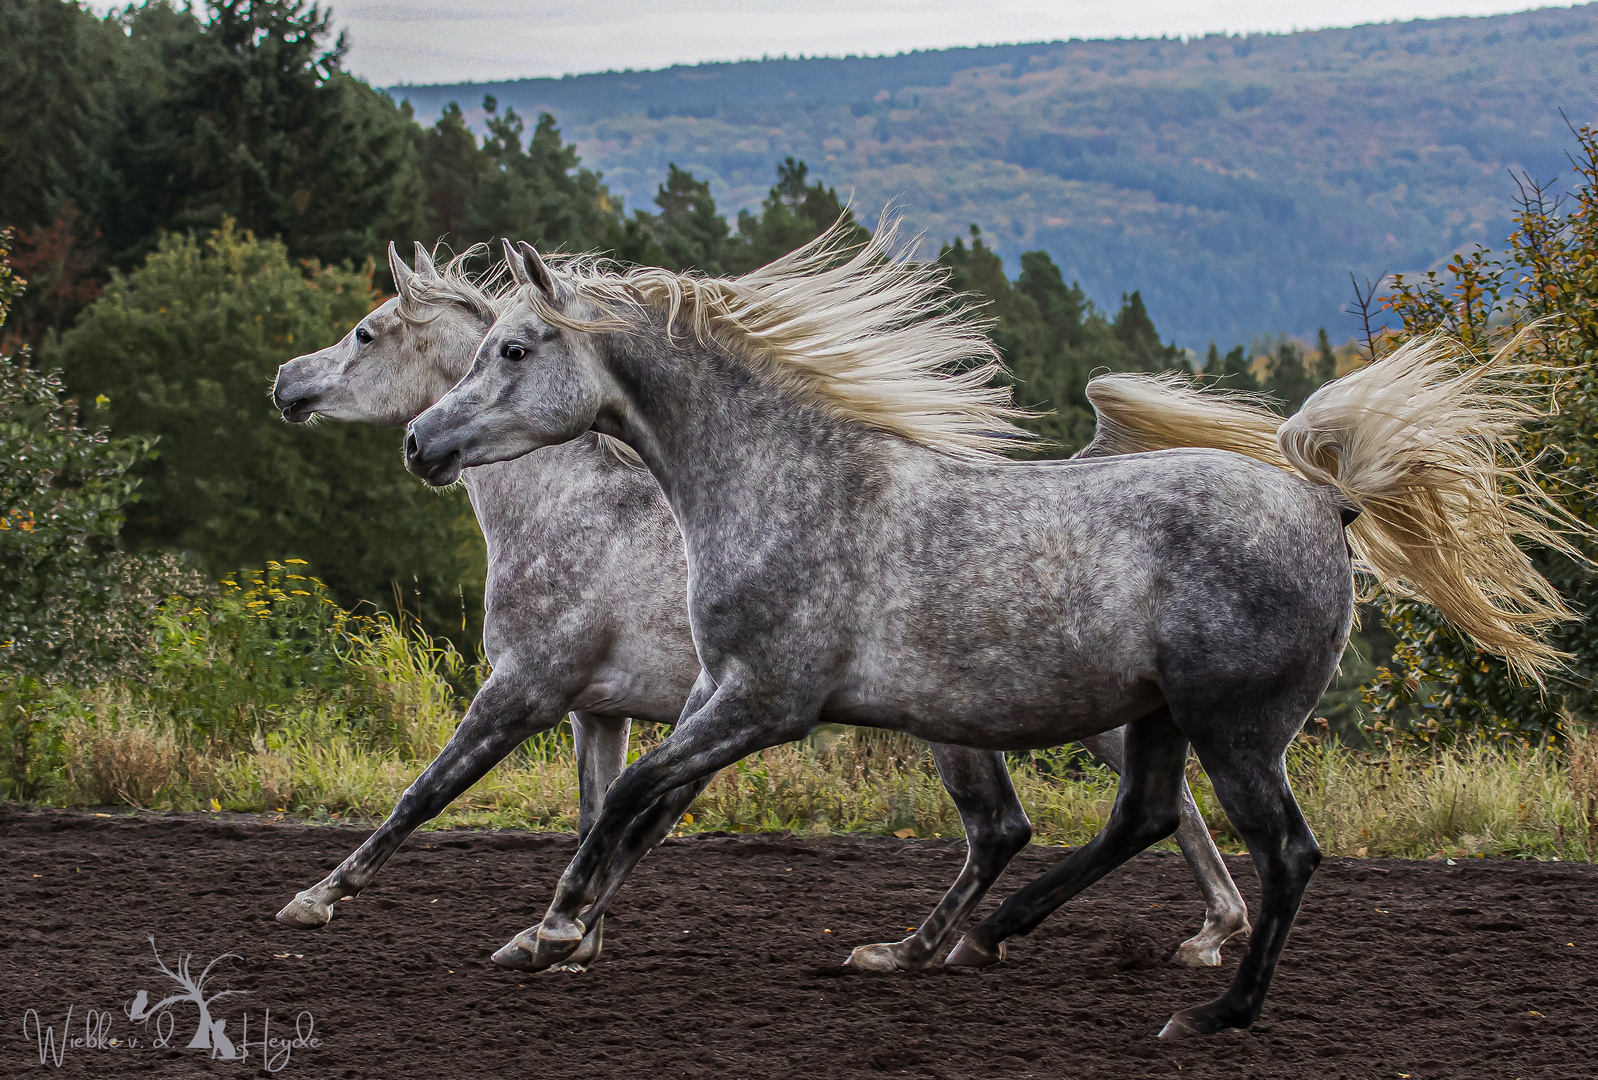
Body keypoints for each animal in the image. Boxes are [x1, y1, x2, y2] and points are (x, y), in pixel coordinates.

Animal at [268, 244, 1252, 971]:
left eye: (364, 332)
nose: (286, 383)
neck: (571, 507)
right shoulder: (602, 710)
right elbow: (606, 814)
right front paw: (573, 935)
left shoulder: (528, 688)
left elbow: (428, 793)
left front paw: (315, 901)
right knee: (1110, 813)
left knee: (1071, 819)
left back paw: (1195, 935)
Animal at [405, 222, 1578, 1035]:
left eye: (515, 349)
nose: (422, 442)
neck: (786, 486)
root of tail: (1325, 505)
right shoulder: (713, 692)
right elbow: (638, 810)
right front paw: (550, 934)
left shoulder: (761, 702)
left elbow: (632, 796)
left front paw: (552, 931)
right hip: (1157, 718)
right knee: (1142, 817)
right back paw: (972, 940)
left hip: (1235, 729)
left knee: (1281, 850)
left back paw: (1210, 1012)